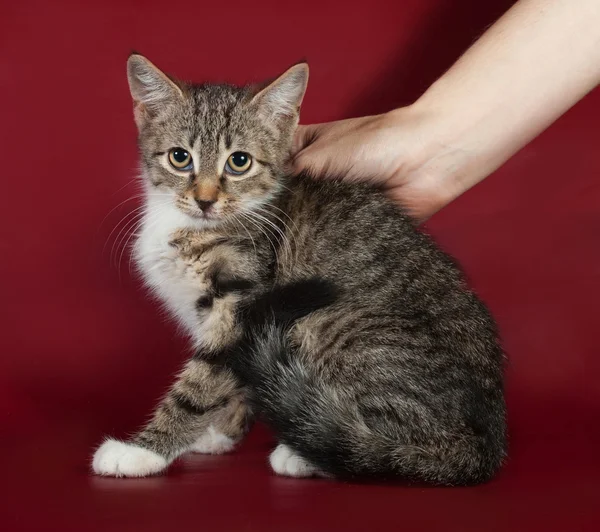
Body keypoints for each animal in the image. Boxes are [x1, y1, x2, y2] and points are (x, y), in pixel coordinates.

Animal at [92, 55, 506, 486]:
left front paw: (145, 450)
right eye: (179, 157)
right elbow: (238, 379)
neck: (194, 227)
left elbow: (204, 381)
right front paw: (220, 432)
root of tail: (483, 449)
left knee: (382, 452)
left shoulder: (242, 300)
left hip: (335, 325)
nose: (205, 200)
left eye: (239, 162)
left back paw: (313, 452)